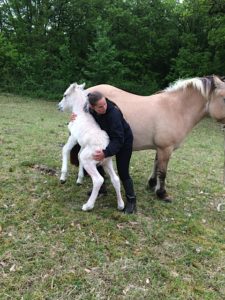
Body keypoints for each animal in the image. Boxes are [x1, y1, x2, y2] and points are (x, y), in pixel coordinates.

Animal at [57, 83, 124, 212]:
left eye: (65, 95)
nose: (59, 107)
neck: (80, 114)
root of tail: (104, 148)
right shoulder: (83, 145)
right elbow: (78, 156)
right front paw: (79, 180)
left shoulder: (73, 137)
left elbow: (65, 150)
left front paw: (63, 177)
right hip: (107, 162)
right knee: (116, 179)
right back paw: (120, 205)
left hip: (89, 161)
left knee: (98, 180)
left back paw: (88, 206)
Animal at [71, 75, 225, 202]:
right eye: (224, 98)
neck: (176, 109)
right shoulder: (166, 148)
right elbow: (162, 172)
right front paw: (162, 193)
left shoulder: (161, 148)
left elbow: (156, 165)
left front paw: (151, 184)